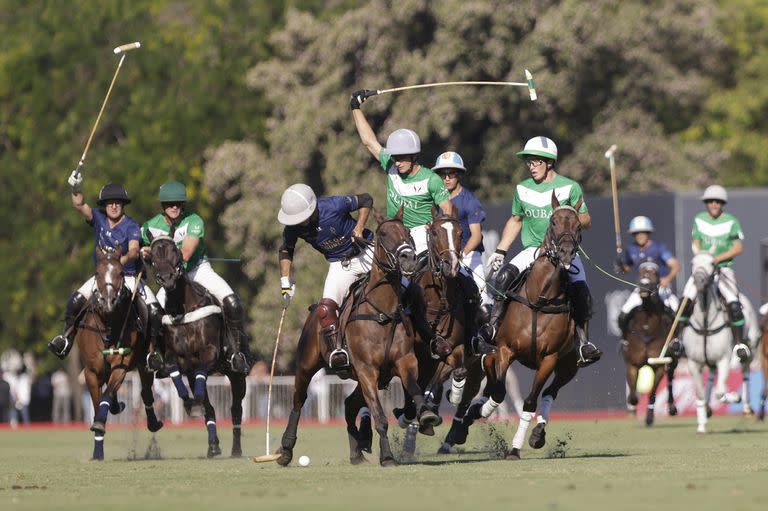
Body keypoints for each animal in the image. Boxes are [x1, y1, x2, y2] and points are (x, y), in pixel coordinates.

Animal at [78, 246, 164, 462]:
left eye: (121, 273)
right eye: (97, 272)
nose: (108, 301)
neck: (108, 325)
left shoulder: (121, 366)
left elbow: (106, 397)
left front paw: (99, 424)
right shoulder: (91, 372)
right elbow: (97, 403)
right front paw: (97, 450)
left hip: (143, 363)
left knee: (146, 392)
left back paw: (153, 422)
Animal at [148, 237, 246, 460]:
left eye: (175, 251)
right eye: (153, 256)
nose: (166, 278)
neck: (183, 309)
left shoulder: (210, 352)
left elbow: (203, 375)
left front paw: (194, 404)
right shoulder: (177, 359)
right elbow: (175, 374)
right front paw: (188, 403)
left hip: (237, 374)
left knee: (236, 408)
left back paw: (236, 449)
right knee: (210, 408)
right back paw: (213, 445)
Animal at [276, 208, 438, 468]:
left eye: (407, 232)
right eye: (384, 234)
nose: (409, 259)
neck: (382, 312)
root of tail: (313, 311)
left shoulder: (405, 361)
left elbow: (414, 388)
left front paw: (427, 415)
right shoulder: (366, 369)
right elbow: (380, 417)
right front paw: (387, 457)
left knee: (349, 405)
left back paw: (356, 453)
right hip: (306, 365)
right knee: (298, 401)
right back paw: (286, 450)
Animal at [456, 194, 584, 462]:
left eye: (579, 226)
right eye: (554, 221)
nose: (566, 253)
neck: (540, 298)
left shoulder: (549, 358)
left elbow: (530, 401)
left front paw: (516, 447)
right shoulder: (505, 351)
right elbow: (497, 392)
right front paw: (477, 414)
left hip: (568, 366)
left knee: (550, 393)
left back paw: (538, 433)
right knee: (491, 383)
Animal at [620, 262, 676, 426]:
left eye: (654, 274)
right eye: (641, 272)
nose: (643, 287)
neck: (647, 327)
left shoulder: (659, 366)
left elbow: (652, 392)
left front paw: (649, 417)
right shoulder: (632, 364)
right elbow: (633, 392)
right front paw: (632, 402)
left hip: (673, 360)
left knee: (670, 380)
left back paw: (672, 407)